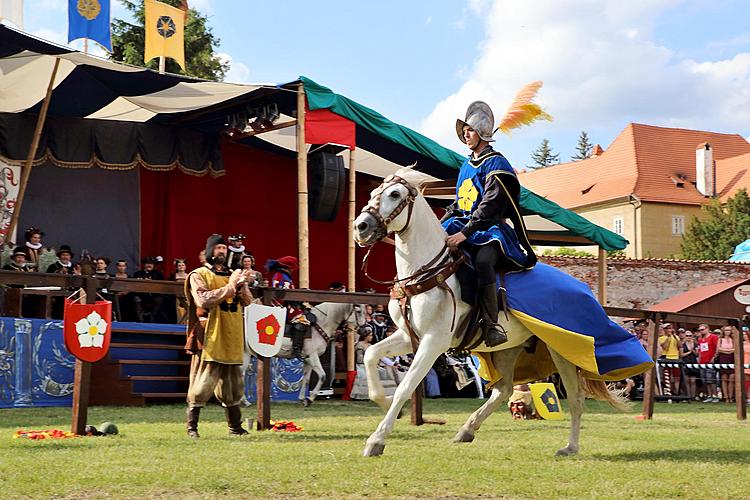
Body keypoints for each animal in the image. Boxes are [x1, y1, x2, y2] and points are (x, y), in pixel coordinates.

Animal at [354, 171, 628, 458]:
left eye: (394, 194)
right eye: (373, 193)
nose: (361, 227)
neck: (429, 271)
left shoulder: (433, 341)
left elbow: (405, 387)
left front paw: (377, 440)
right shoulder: (410, 336)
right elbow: (371, 355)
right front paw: (386, 405)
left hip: (562, 349)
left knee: (575, 399)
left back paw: (570, 446)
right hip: (507, 349)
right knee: (504, 389)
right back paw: (467, 429)